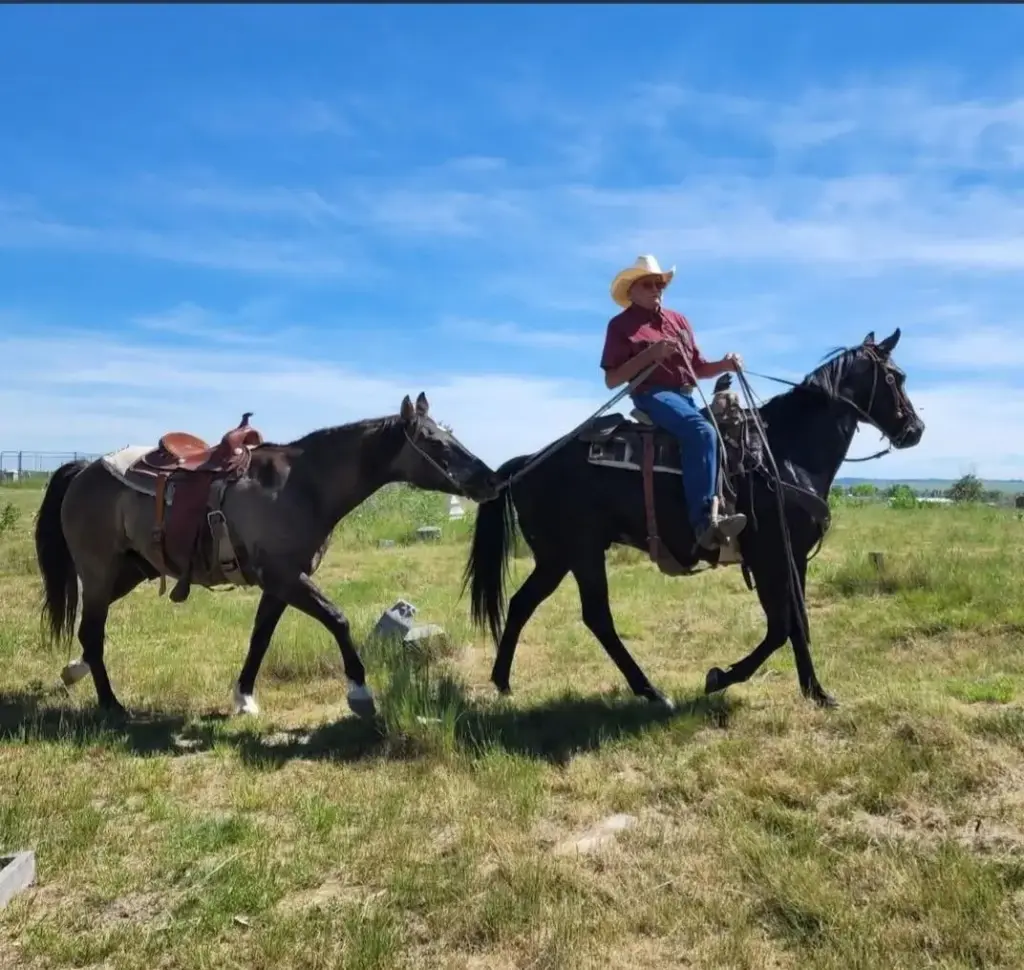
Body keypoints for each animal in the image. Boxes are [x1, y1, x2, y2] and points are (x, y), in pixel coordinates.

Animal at [34, 392, 500, 720]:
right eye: (435, 442)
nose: (490, 480)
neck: (301, 485)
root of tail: (84, 469)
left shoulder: (280, 584)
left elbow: (260, 637)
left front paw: (244, 698)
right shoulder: (285, 577)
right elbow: (338, 619)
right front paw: (360, 694)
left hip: (128, 571)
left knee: (88, 632)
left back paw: (75, 672)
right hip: (99, 572)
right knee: (92, 631)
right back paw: (111, 704)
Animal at [463, 329, 924, 710]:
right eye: (895, 377)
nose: (915, 430)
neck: (784, 454)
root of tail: (528, 461)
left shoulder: (792, 558)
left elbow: (797, 623)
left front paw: (813, 690)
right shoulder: (772, 556)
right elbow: (782, 625)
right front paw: (723, 677)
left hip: (556, 557)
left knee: (523, 604)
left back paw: (503, 682)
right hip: (582, 551)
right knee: (596, 616)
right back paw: (651, 691)